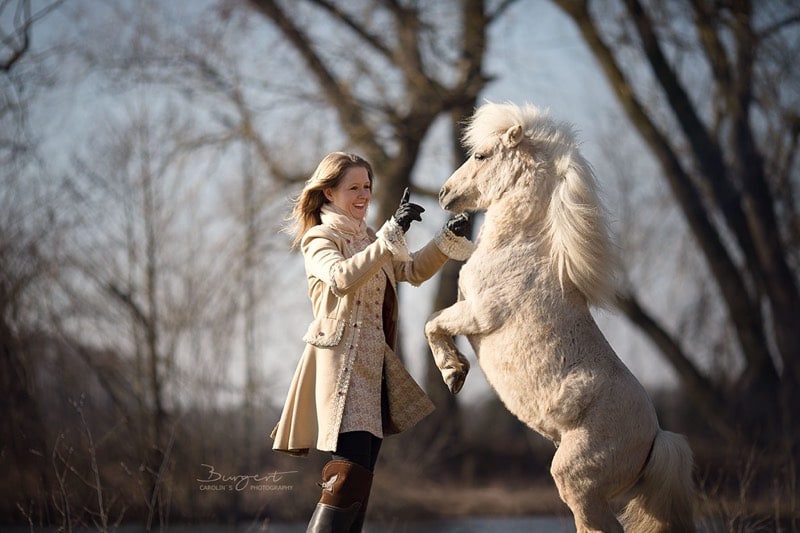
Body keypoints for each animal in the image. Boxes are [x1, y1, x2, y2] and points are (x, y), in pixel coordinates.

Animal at [428, 102, 696, 528]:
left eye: (481, 156)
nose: (444, 194)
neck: (518, 247)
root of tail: (656, 438)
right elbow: (436, 323)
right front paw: (455, 372)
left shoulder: (478, 314)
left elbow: (433, 323)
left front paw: (454, 373)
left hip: (577, 483)